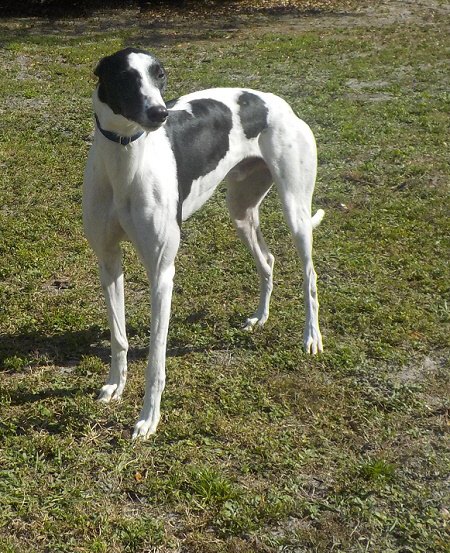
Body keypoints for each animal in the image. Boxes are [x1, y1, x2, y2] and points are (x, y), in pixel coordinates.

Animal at [83, 47, 324, 438]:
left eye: (160, 74)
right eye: (123, 77)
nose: (160, 113)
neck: (126, 161)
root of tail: (276, 102)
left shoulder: (162, 273)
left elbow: (156, 358)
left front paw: (148, 418)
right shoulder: (107, 260)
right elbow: (118, 335)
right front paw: (115, 385)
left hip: (296, 211)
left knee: (309, 276)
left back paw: (311, 337)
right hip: (240, 210)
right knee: (268, 260)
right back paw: (260, 317)